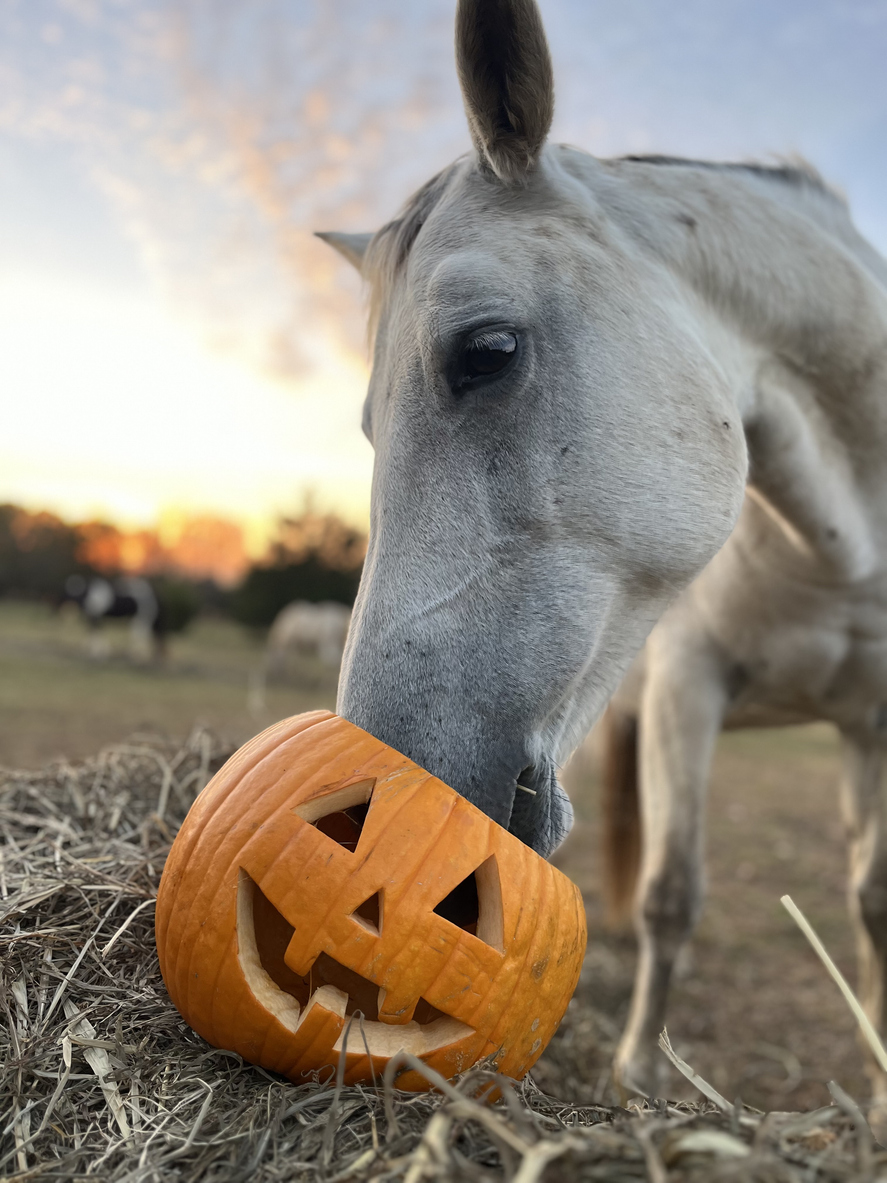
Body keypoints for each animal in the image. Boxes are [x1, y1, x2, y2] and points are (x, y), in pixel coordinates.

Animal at [318, 0, 887, 1097]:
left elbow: (872, 899)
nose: (378, 803)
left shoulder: (873, 721)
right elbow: (670, 890)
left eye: (487, 351)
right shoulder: (683, 687)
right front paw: (635, 1074)